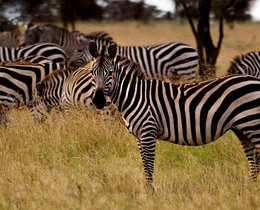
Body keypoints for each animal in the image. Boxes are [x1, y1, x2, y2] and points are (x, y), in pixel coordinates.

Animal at [89, 41, 260, 186]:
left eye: (110, 73)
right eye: (92, 72)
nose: (98, 100)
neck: (135, 96)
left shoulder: (148, 132)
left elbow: (149, 166)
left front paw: (150, 193)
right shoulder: (139, 136)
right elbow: (145, 166)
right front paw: (147, 191)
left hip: (252, 124)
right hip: (242, 129)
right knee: (253, 161)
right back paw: (251, 188)